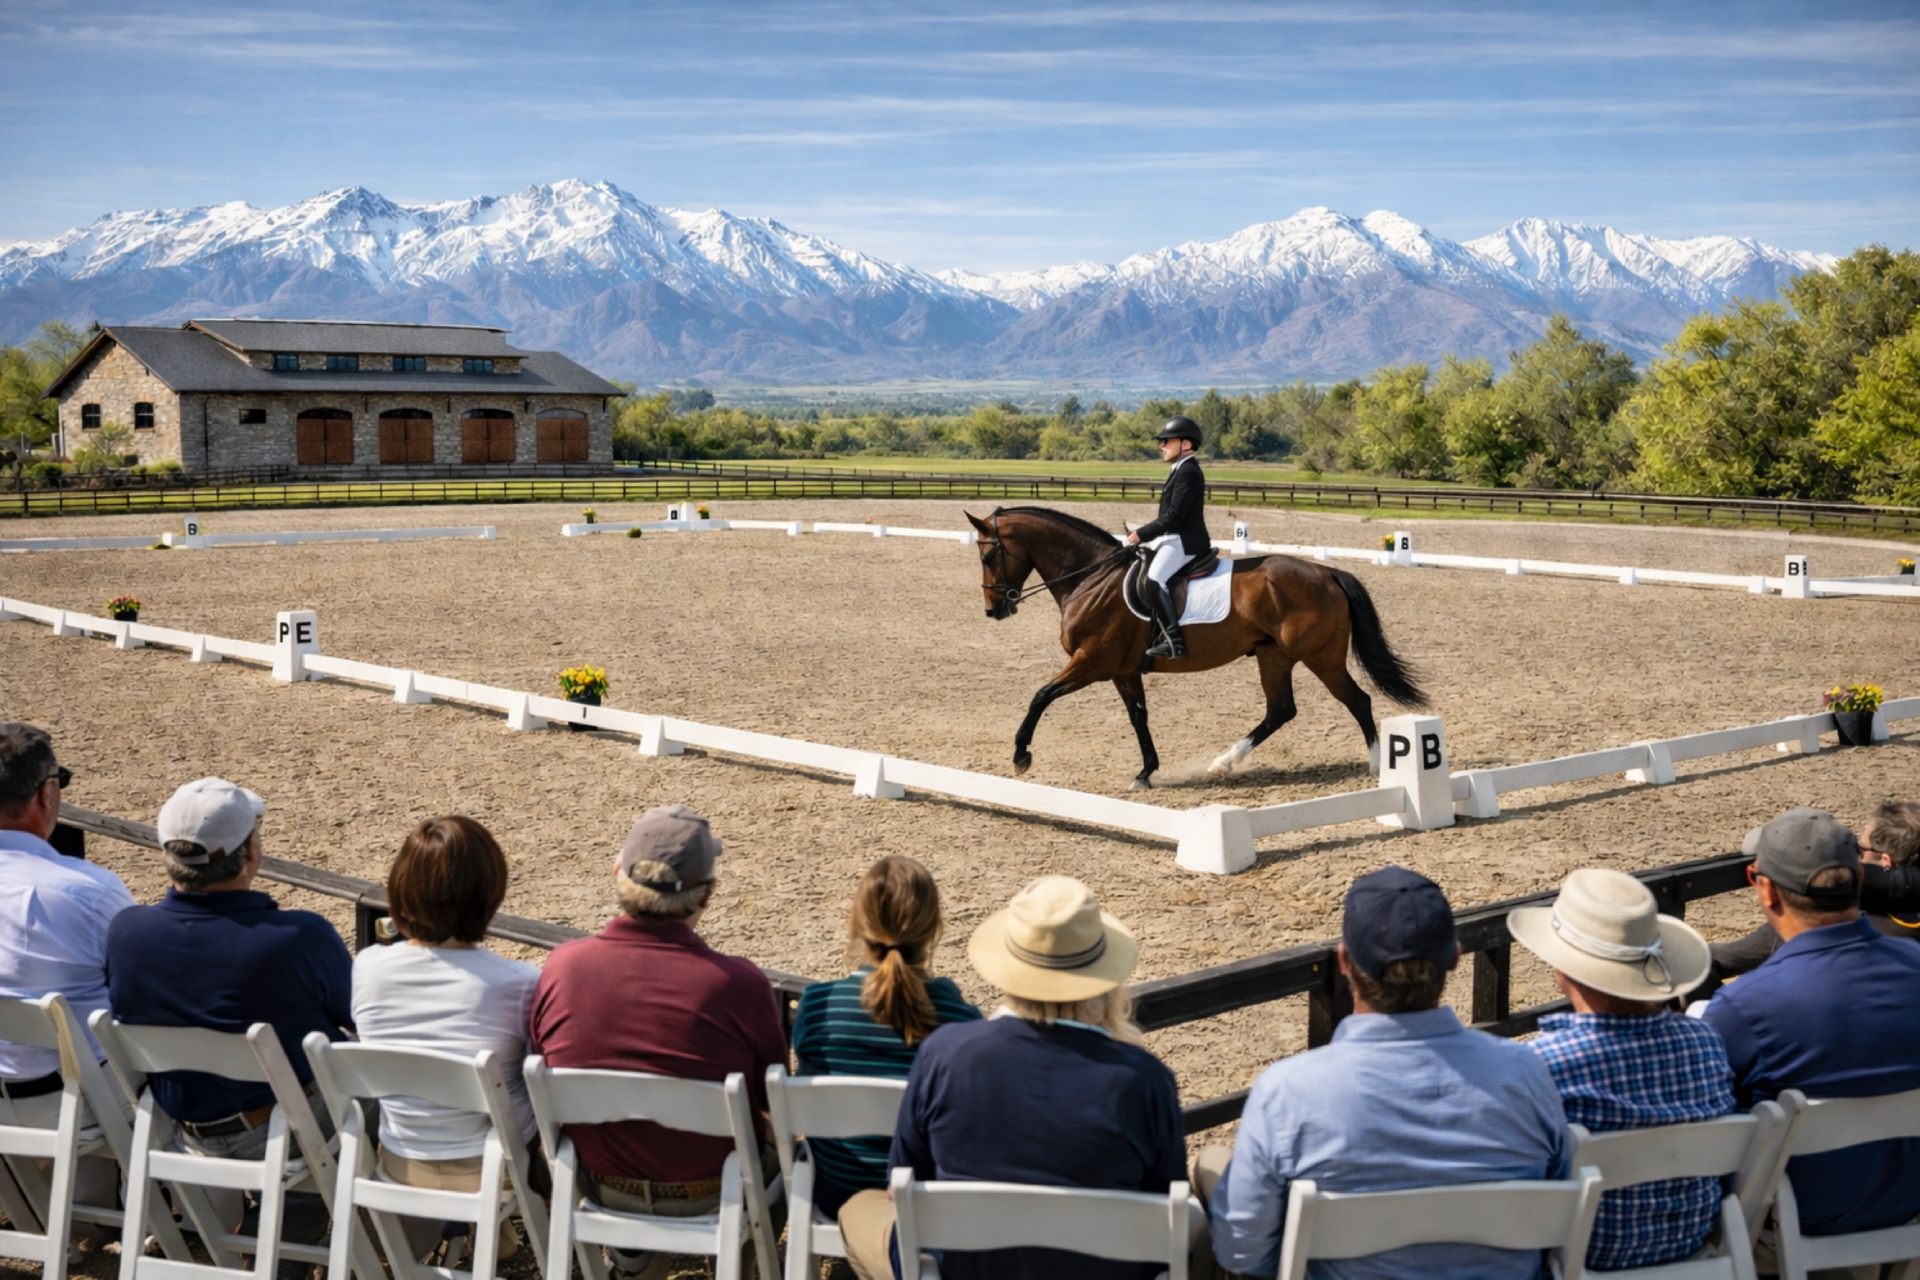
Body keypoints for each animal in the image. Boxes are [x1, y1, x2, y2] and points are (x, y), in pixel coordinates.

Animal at [967, 506, 1428, 790]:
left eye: (989, 557)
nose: (993, 610)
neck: (1091, 579)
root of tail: (1327, 572)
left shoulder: (1092, 663)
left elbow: (1040, 696)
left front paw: (1021, 754)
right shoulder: (1122, 670)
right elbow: (1138, 717)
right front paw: (1146, 772)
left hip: (1320, 657)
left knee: (1357, 700)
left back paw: (1376, 766)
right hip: (1273, 655)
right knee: (1281, 709)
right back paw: (1224, 762)